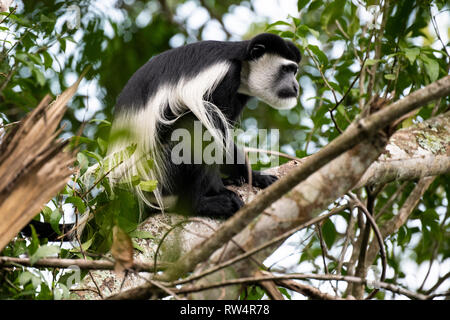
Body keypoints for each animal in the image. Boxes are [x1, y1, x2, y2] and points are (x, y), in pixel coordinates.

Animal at [107, 33, 300, 218]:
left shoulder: (239, 94)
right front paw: (222, 190)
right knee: (195, 127)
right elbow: (213, 129)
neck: (242, 64)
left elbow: (225, 134)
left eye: (294, 71)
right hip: (159, 172)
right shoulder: (225, 75)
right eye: (286, 69)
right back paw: (201, 203)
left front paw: (254, 176)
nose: (296, 87)